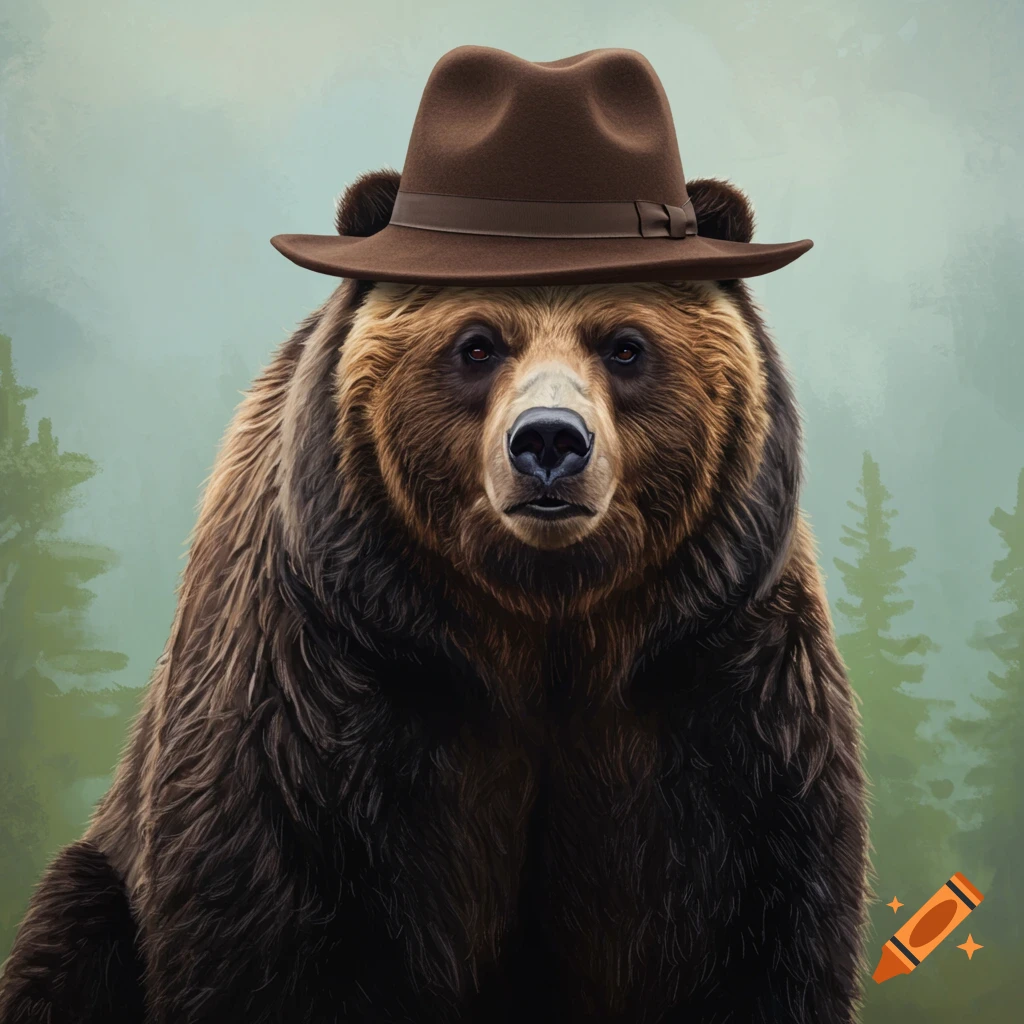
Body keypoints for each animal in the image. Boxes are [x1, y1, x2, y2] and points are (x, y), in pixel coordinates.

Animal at [0, 170, 870, 1024]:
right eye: (477, 344)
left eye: (626, 346)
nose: (548, 440)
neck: (538, 633)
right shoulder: (317, 688)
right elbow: (258, 927)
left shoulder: (724, 694)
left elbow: (760, 937)